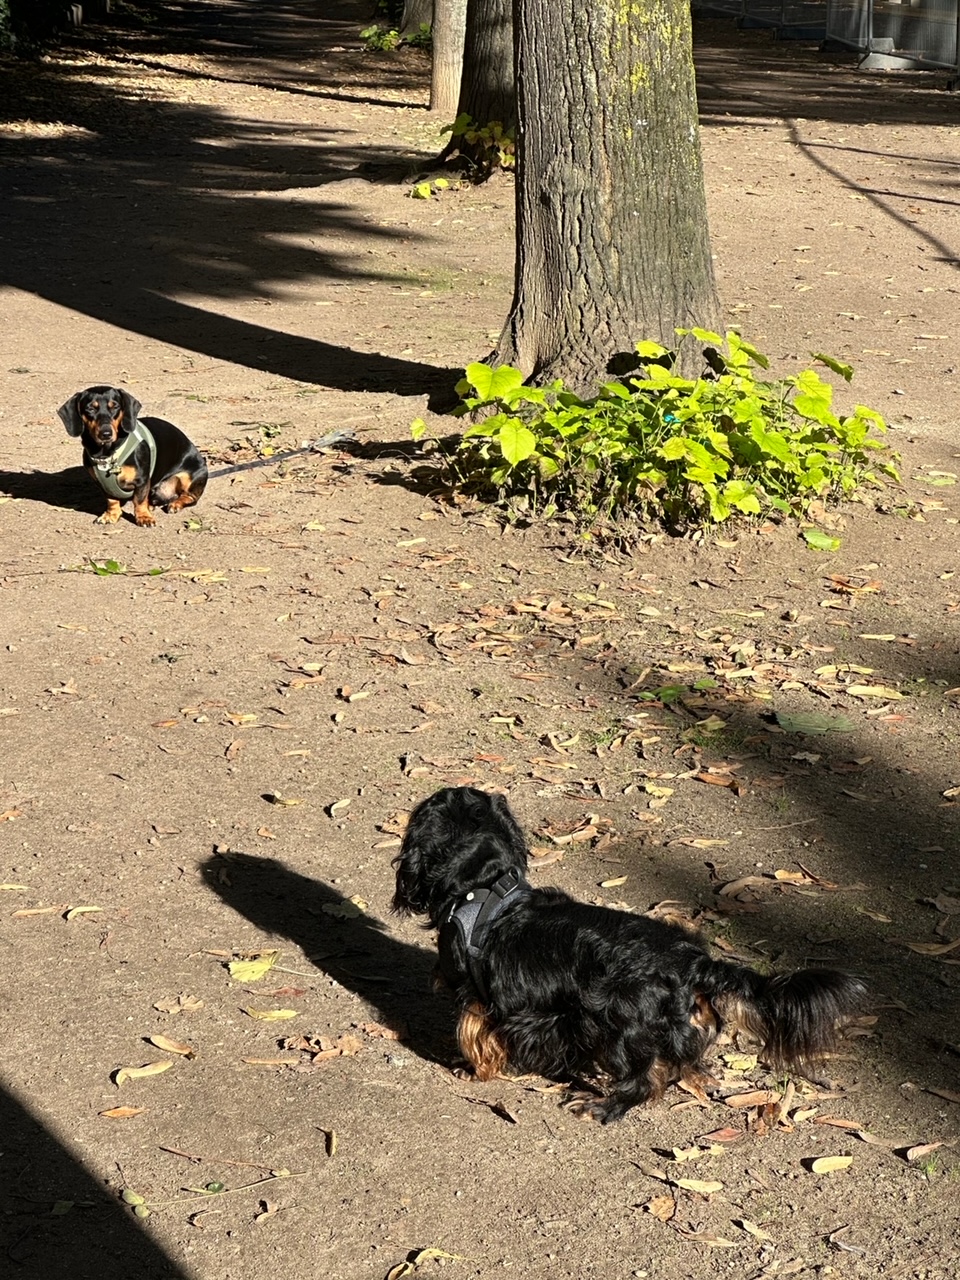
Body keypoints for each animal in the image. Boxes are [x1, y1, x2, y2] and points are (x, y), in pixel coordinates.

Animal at [391, 783, 865, 1126]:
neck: (485, 885)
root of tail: (695, 961)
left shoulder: (480, 997)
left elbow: (476, 1038)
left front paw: (470, 1069)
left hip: (619, 1026)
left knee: (645, 1080)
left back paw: (602, 1105)